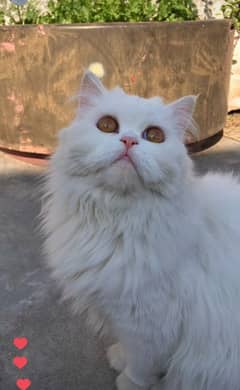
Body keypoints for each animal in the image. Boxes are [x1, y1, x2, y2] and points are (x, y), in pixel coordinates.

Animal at [42, 71, 240, 390]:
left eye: (154, 136)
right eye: (107, 125)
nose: (129, 140)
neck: (116, 221)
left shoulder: (150, 324)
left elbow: (141, 364)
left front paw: (128, 382)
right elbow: (127, 350)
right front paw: (118, 357)